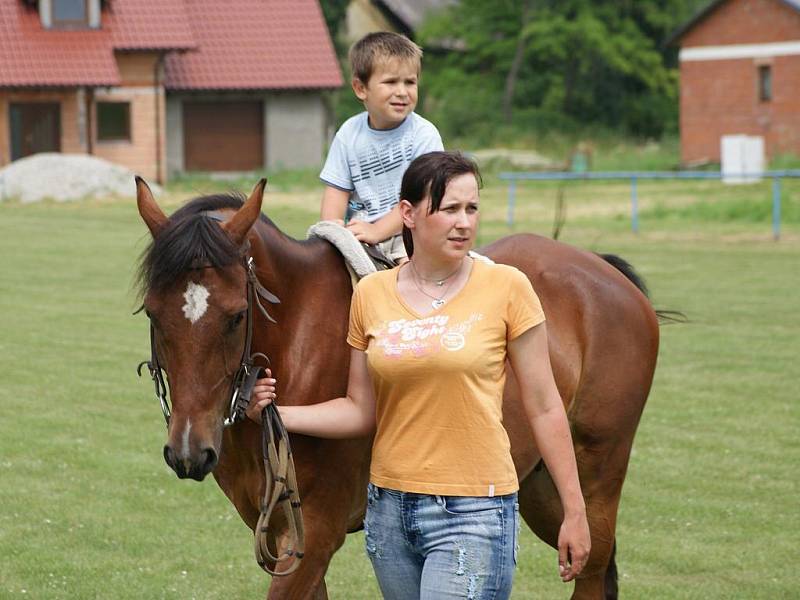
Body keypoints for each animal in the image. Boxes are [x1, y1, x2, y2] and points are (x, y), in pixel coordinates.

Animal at [134, 179, 660, 600]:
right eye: (153, 313)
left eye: (236, 315)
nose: (189, 450)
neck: (297, 345)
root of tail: (604, 272)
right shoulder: (285, 533)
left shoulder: (315, 533)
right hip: (545, 489)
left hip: (596, 477)